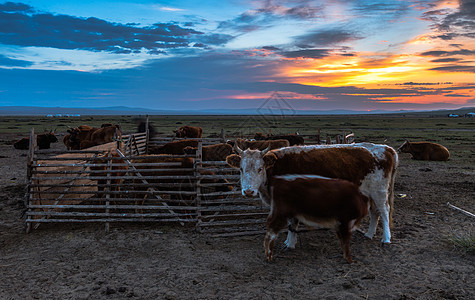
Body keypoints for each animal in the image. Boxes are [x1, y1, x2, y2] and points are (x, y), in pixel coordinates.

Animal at [227, 143, 398, 244]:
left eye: (260, 168)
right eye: (241, 169)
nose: (248, 191)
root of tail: (385, 148)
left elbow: (292, 222)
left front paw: (290, 243)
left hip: (379, 191)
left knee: (384, 211)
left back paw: (386, 239)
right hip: (369, 193)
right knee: (375, 212)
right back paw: (369, 234)